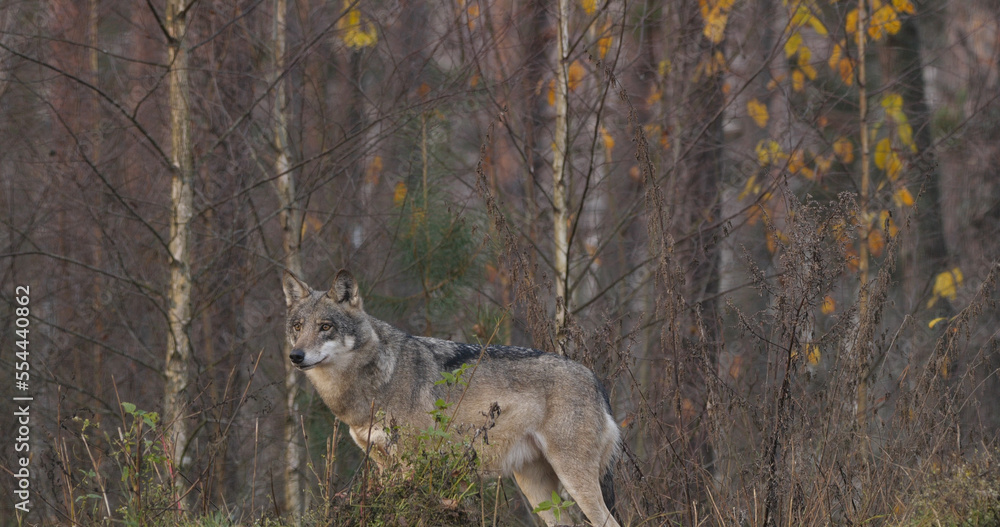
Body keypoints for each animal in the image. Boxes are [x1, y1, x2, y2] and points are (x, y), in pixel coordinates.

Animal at [282, 270, 622, 526]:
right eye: (297, 327)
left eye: (325, 327)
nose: (295, 356)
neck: (378, 377)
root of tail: (596, 381)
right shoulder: (382, 463)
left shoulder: (411, 463)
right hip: (536, 489)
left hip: (573, 479)